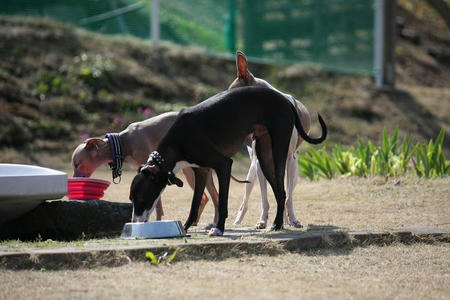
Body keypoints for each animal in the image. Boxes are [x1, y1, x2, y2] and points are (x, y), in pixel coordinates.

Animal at [128, 85, 326, 236]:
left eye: (141, 197)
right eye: (131, 198)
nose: (134, 223)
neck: (179, 139)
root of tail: (286, 100)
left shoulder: (223, 166)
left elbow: (222, 202)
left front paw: (218, 229)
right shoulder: (201, 171)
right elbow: (194, 204)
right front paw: (184, 228)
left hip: (279, 151)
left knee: (283, 190)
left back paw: (277, 225)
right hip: (264, 156)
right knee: (280, 192)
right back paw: (278, 224)